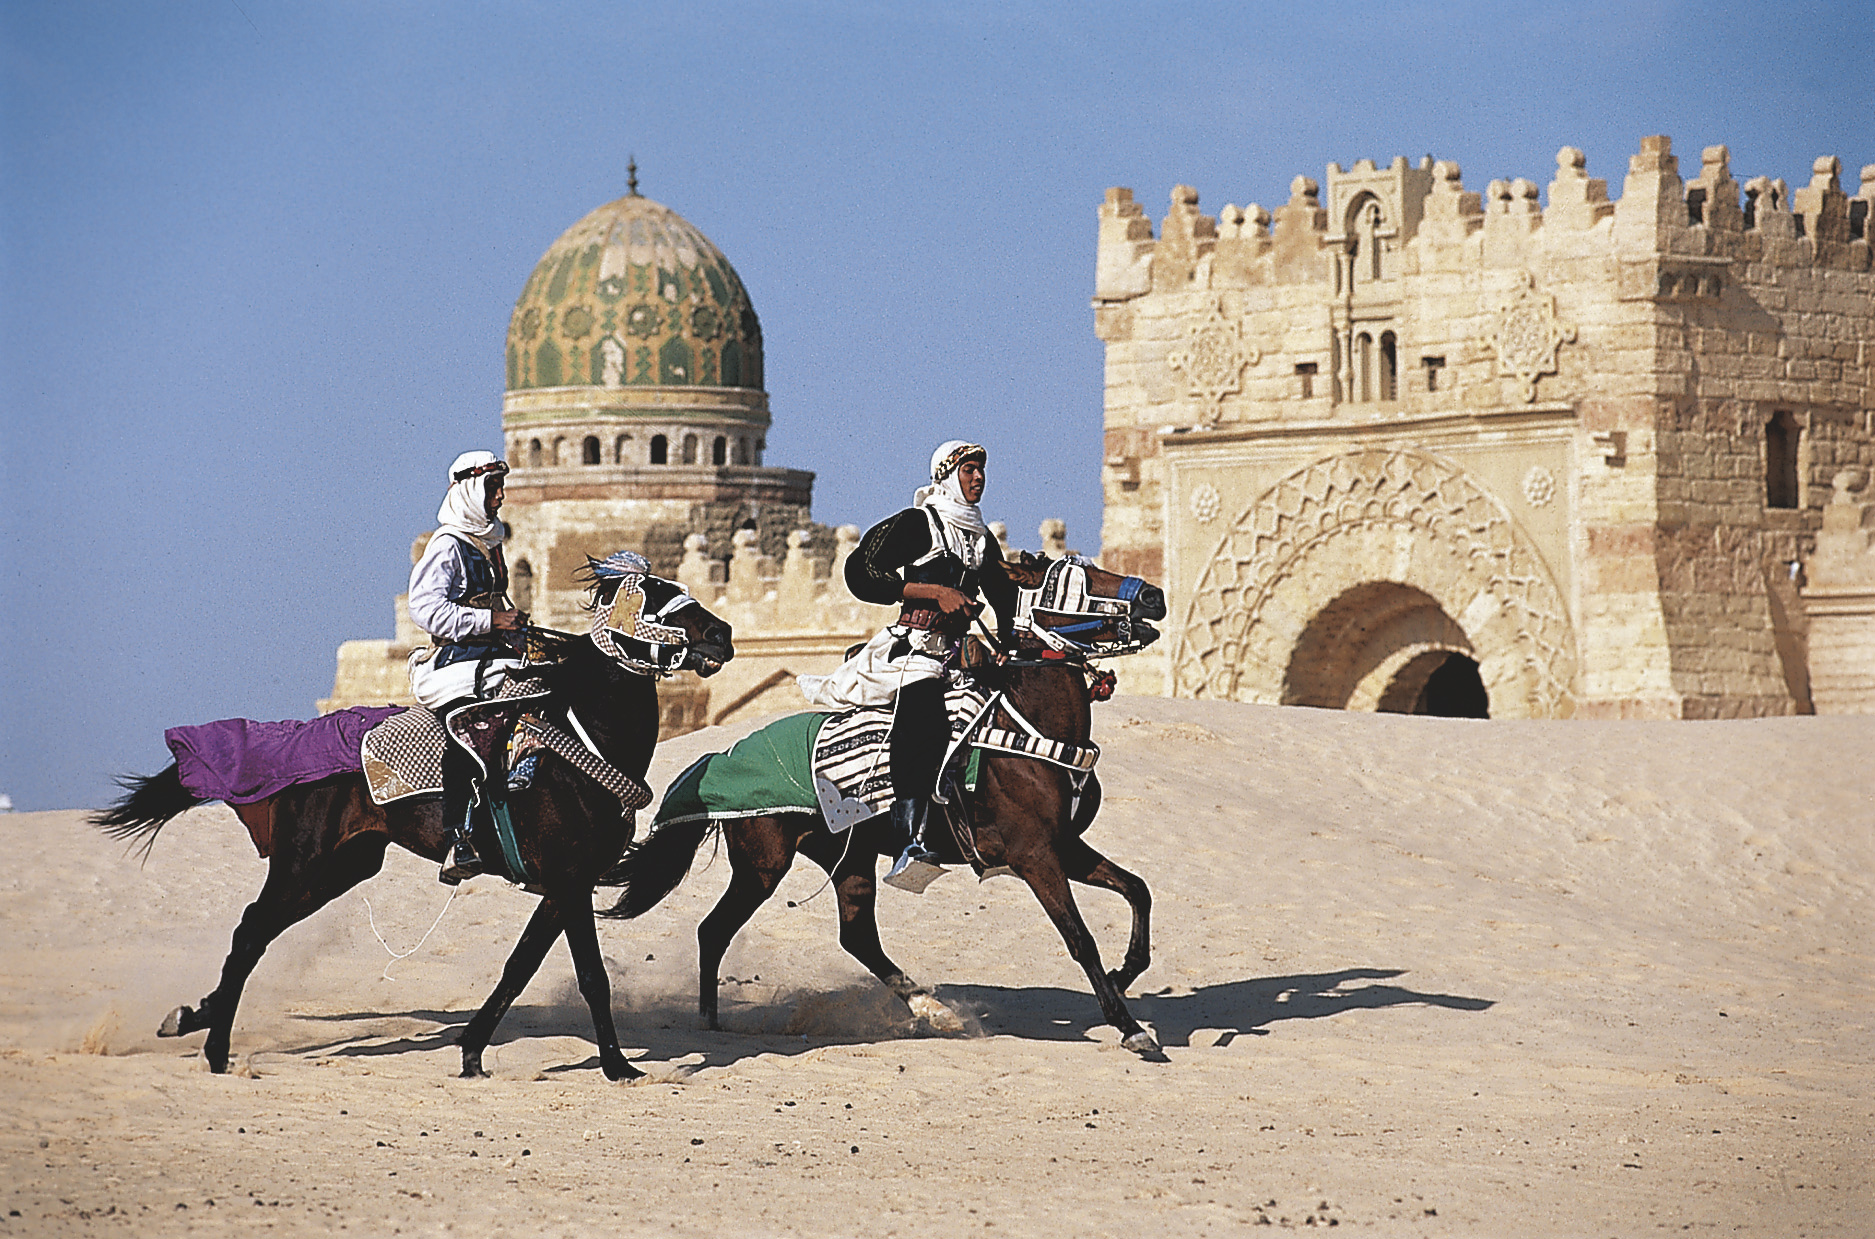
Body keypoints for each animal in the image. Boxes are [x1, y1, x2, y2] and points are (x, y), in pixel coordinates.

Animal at [92, 567, 733, 1081]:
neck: (583, 743)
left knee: (256, 930)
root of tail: (303, 739)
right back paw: (215, 1049)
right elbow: (592, 977)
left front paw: (472, 1052)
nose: (721, 635)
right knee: (250, 932)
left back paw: (191, 1018)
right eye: (654, 597)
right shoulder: (572, 881)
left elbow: (519, 966)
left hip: (342, 868)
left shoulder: (558, 888)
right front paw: (619, 1067)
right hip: (303, 864)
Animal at [600, 553, 1171, 1058]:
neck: (1026, 726)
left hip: (846, 857)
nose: (1155, 597)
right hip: (764, 865)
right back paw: (710, 1025)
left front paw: (1125, 973)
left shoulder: (1063, 847)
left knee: (856, 936)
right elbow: (1080, 939)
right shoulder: (1035, 856)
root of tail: (720, 755)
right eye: (1072, 580)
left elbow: (1137, 890)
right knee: (715, 930)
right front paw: (1130, 1028)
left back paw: (933, 1011)